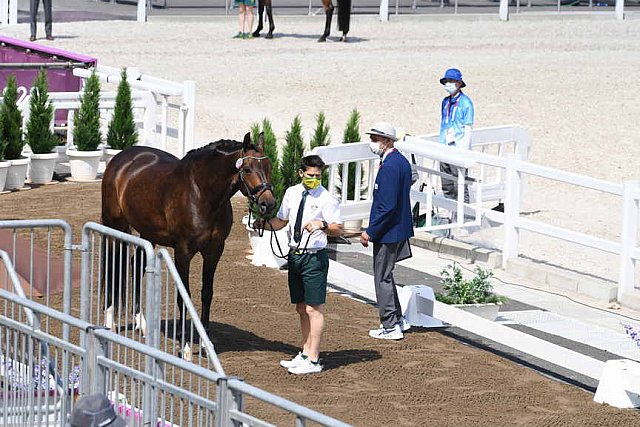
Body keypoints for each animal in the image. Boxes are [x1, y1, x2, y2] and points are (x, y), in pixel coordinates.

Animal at [100, 132, 276, 336]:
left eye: (269, 166)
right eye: (247, 169)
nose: (268, 204)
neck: (201, 193)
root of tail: (121, 158)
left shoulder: (214, 250)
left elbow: (207, 292)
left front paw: (205, 332)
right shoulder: (183, 251)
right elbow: (183, 295)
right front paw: (182, 336)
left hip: (148, 233)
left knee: (136, 265)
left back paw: (141, 324)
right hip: (115, 226)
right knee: (112, 268)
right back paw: (110, 323)